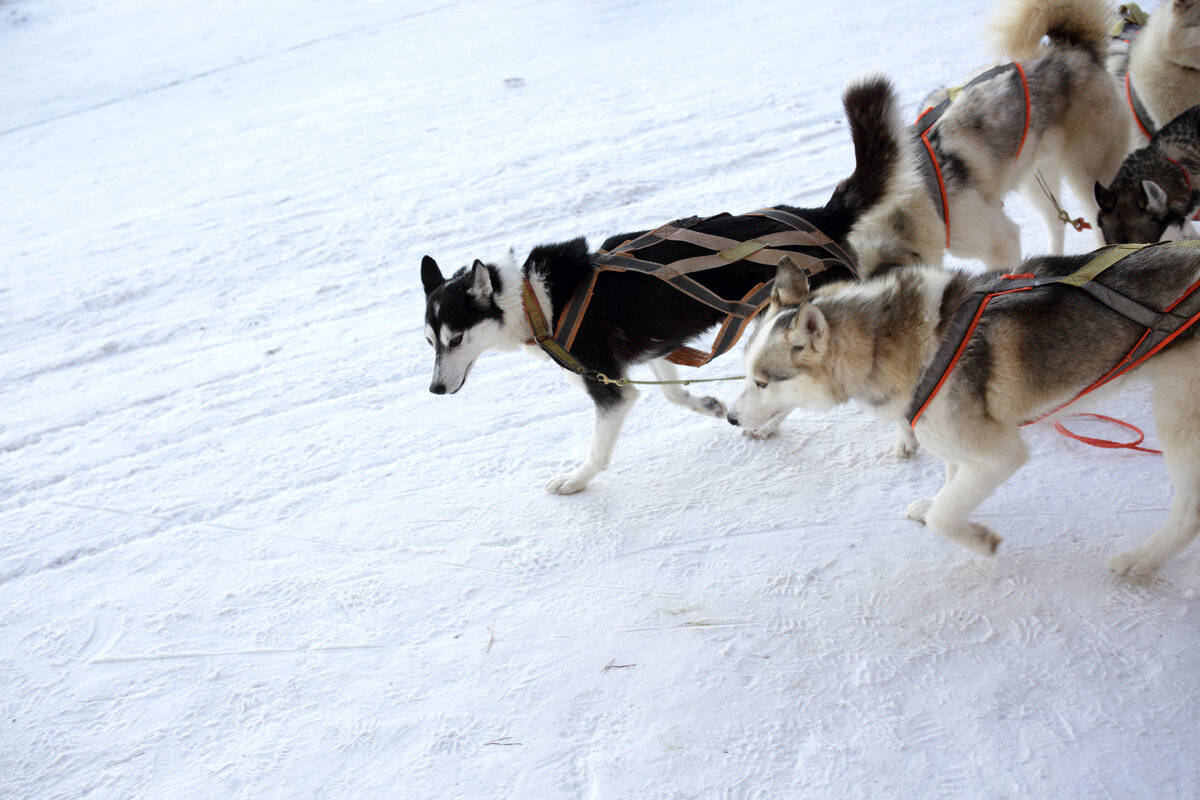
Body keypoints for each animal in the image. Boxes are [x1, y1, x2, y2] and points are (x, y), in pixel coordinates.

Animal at [422, 77, 916, 496]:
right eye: (430, 341)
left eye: (456, 339)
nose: (435, 390)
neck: (536, 300)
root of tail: (819, 216)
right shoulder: (658, 348)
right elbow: (675, 395)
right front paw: (707, 405)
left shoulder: (612, 391)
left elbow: (599, 451)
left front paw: (575, 480)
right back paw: (765, 423)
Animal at [724, 248, 1200, 575]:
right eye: (746, 373)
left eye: (763, 381)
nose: (730, 418)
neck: (891, 343)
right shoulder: (948, 438)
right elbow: (951, 484)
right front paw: (939, 502)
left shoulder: (1000, 454)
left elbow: (945, 515)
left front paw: (978, 539)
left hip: (1179, 419)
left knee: (1190, 511)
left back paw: (1142, 560)